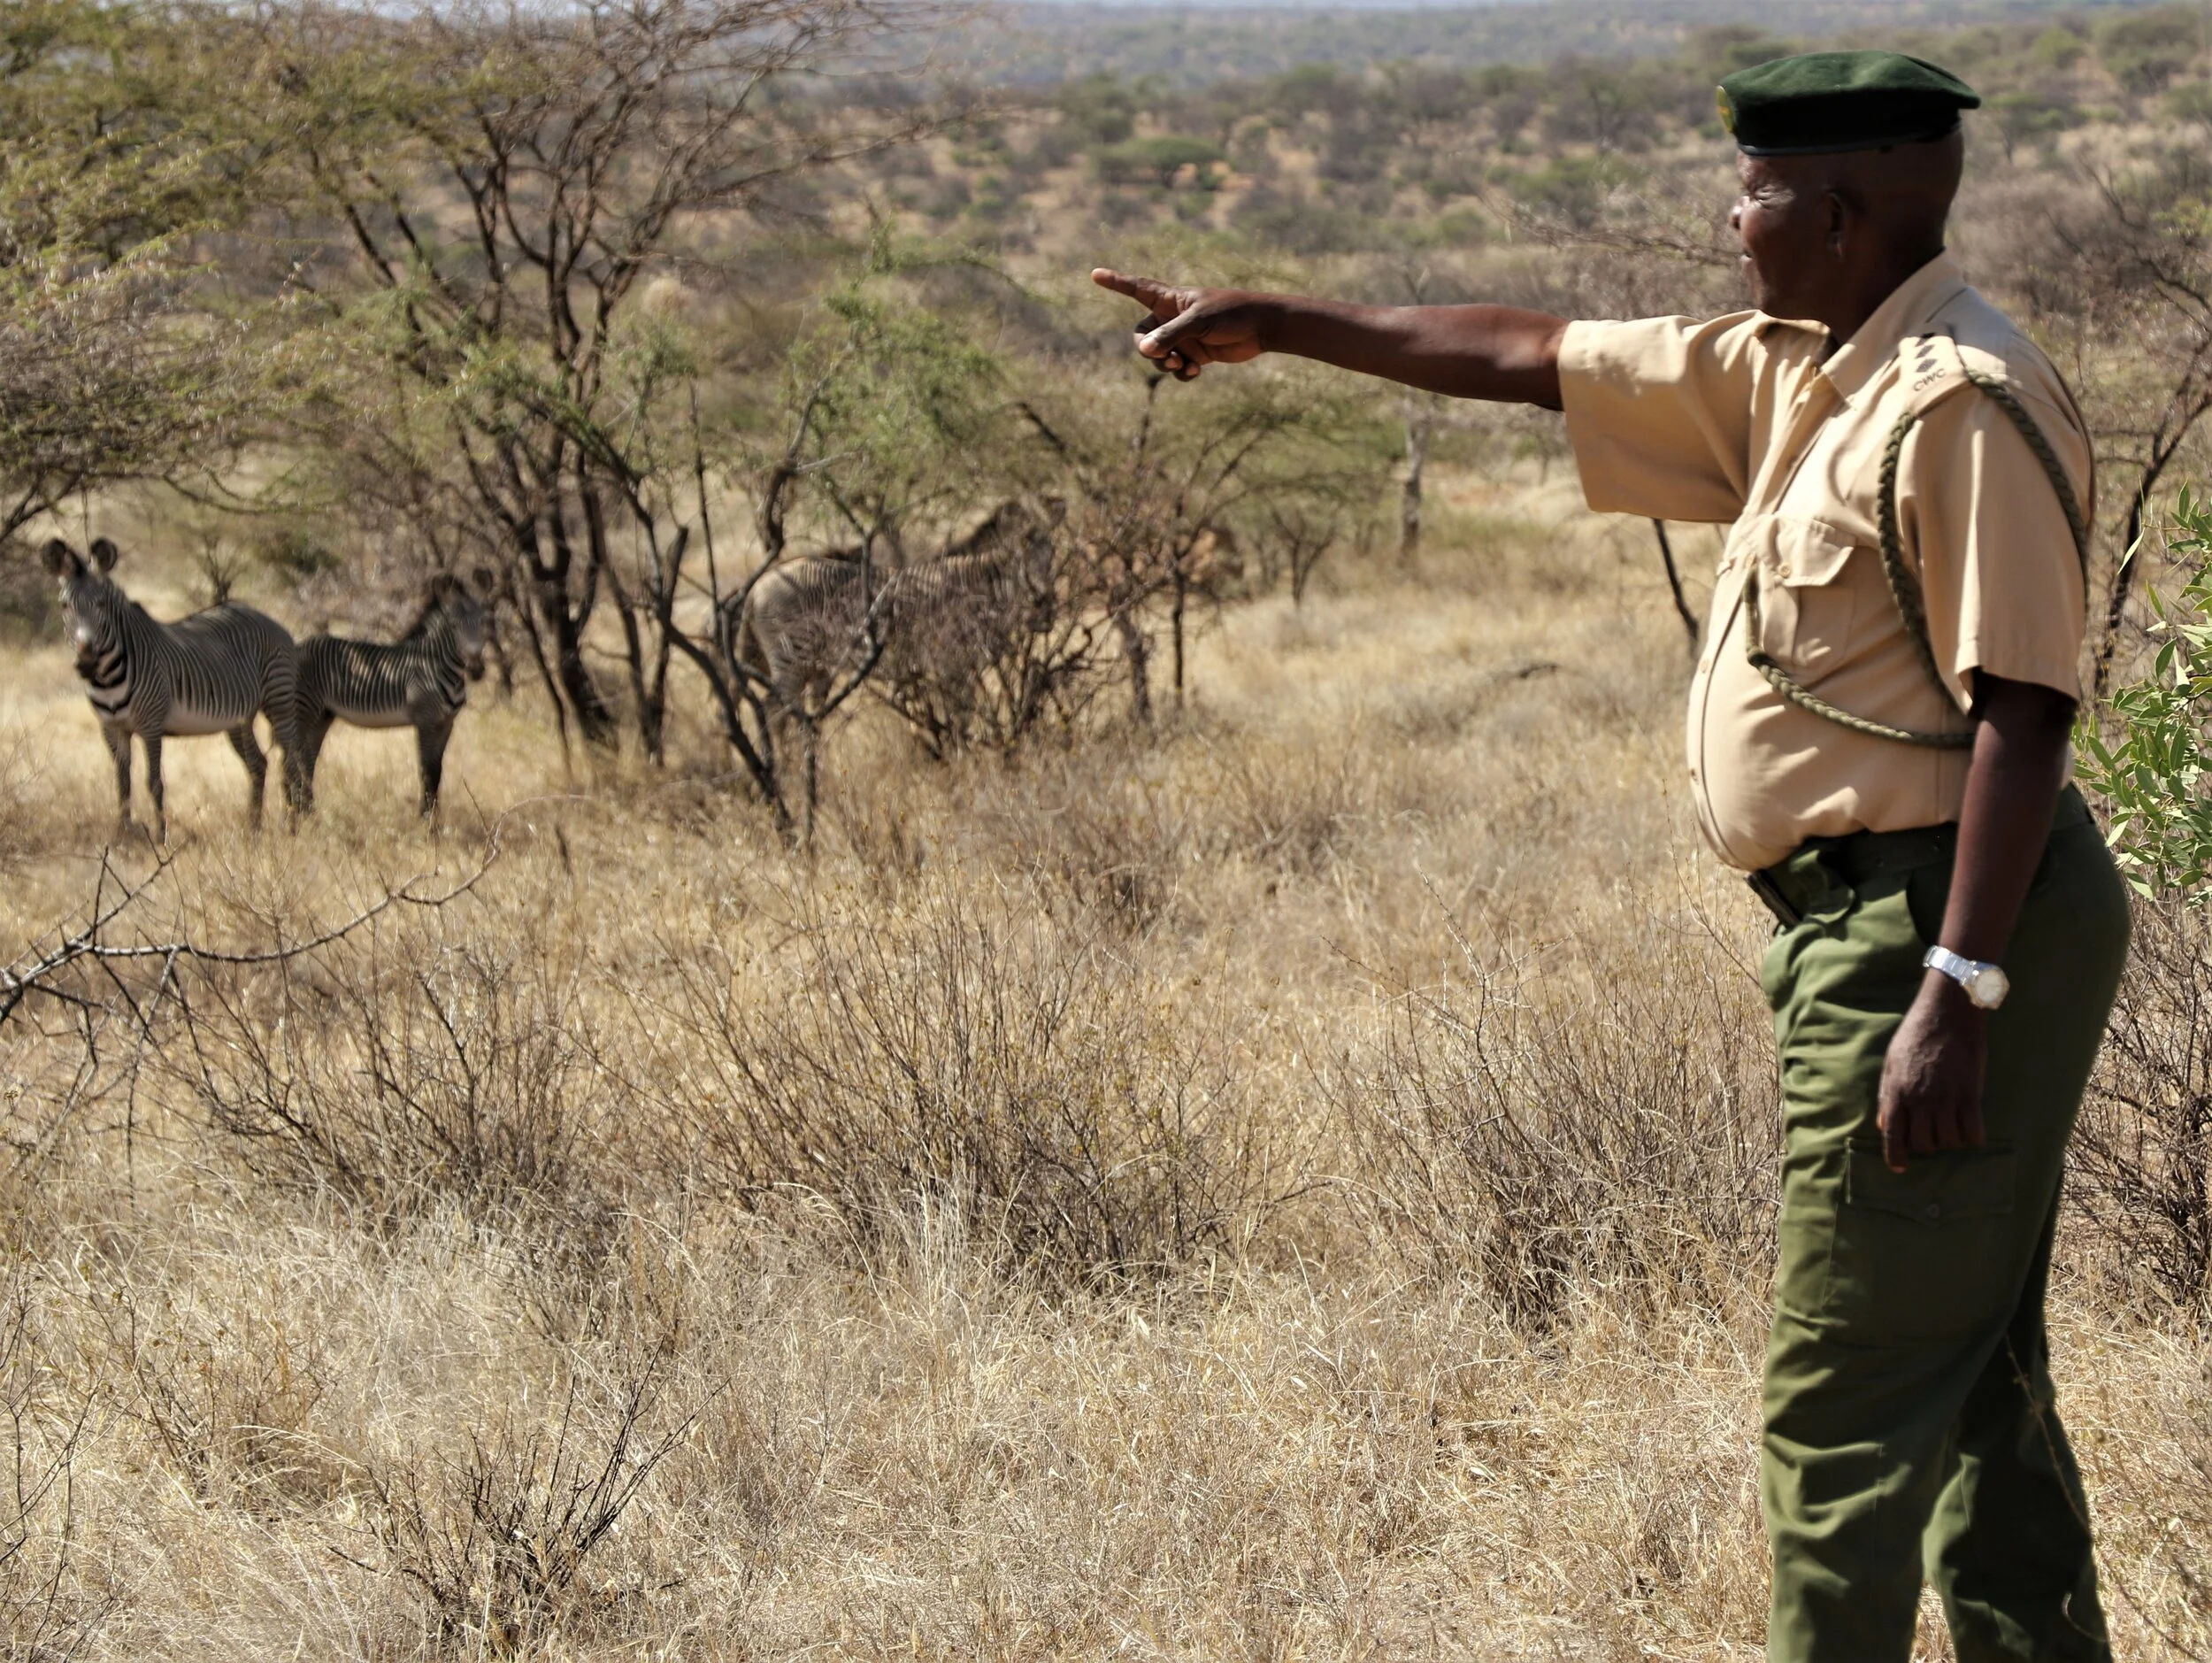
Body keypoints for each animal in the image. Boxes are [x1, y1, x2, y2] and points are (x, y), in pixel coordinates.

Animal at [43, 536, 301, 843]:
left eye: (101, 604)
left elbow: (154, 782)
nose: (85, 663)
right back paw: (254, 830)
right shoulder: (111, 729)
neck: (106, 678)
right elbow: (122, 785)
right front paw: (122, 837)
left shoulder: (151, 726)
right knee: (258, 764)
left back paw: (292, 826)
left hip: (279, 702)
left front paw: (159, 838)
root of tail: (266, 617)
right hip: (240, 719)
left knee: (291, 764)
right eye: (64, 605)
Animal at [289, 570, 491, 818]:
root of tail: (299, 646)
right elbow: (427, 771)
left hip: (322, 715)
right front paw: (425, 821)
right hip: (304, 708)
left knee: (307, 761)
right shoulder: (425, 720)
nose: (476, 670)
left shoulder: (447, 723)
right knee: (294, 761)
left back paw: (309, 813)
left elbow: (438, 773)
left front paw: (435, 820)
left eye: (484, 623)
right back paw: (295, 812)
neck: (441, 668)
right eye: (453, 626)